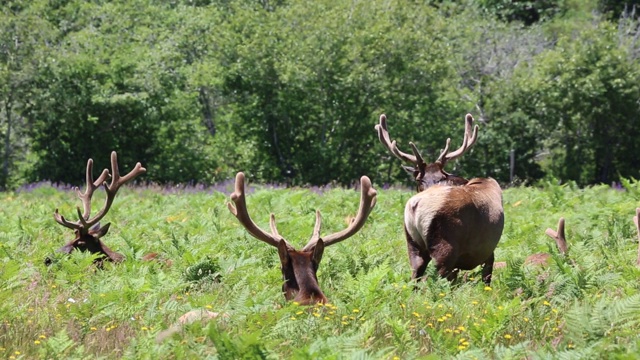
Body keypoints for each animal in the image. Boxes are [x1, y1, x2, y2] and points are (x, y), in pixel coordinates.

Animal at [376, 112, 504, 284]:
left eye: (441, 178)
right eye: (419, 180)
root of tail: (415, 205)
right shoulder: (488, 249)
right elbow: (486, 278)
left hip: (412, 243)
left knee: (415, 276)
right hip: (446, 244)